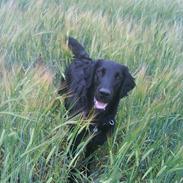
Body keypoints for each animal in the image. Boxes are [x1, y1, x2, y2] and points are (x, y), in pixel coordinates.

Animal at [59, 37, 135, 182]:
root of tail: (84, 58)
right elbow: (72, 159)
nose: (104, 93)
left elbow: (88, 161)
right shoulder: (75, 139)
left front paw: (86, 175)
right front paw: (70, 176)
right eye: (100, 72)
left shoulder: (94, 143)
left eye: (118, 77)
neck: (95, 118)